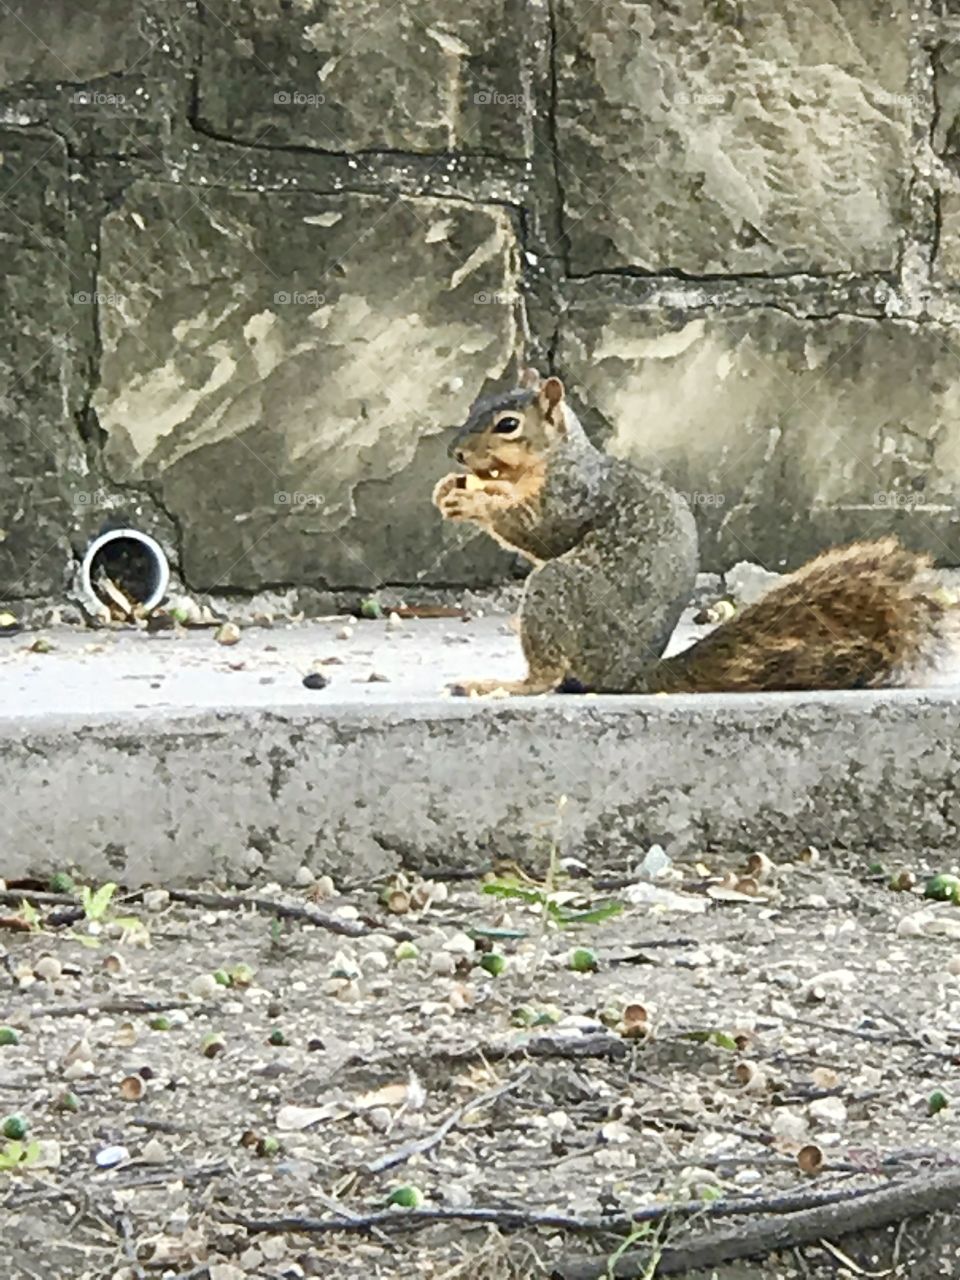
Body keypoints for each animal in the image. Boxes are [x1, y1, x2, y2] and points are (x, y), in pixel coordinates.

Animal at [432, 369, 959, 696]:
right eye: (481, 405)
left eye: (508, 425)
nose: (455, 453)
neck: (551, 459)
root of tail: (628, 676)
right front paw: (451, 488)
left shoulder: (575, 493)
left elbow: (540, 530)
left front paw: (473, 500)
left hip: (558, 590)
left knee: (547, 675)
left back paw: (497, 686)